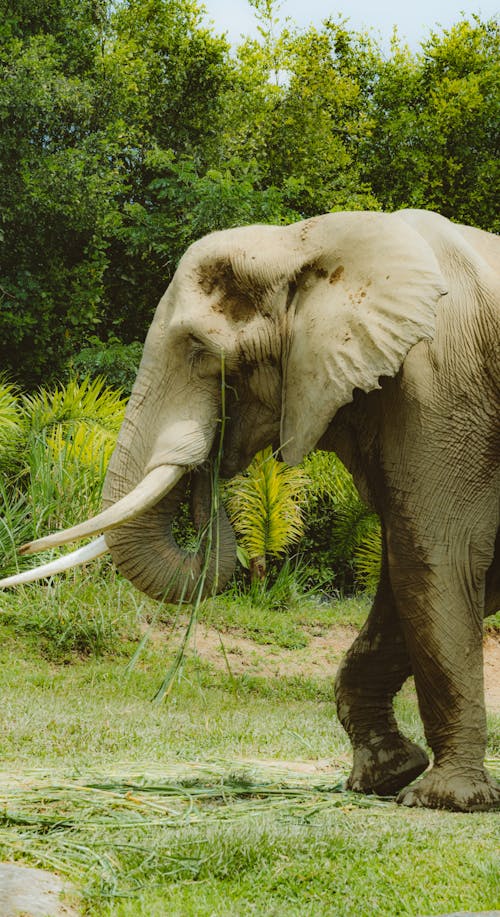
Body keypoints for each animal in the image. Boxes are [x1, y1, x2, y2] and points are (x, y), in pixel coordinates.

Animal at [0, 206, 500, 808]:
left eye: (200, 352)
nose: (212, 462)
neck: (303, 242)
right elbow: (416, 573)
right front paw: (385, 776)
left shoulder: (443, 386)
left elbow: (438, 557)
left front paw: (442, 799)